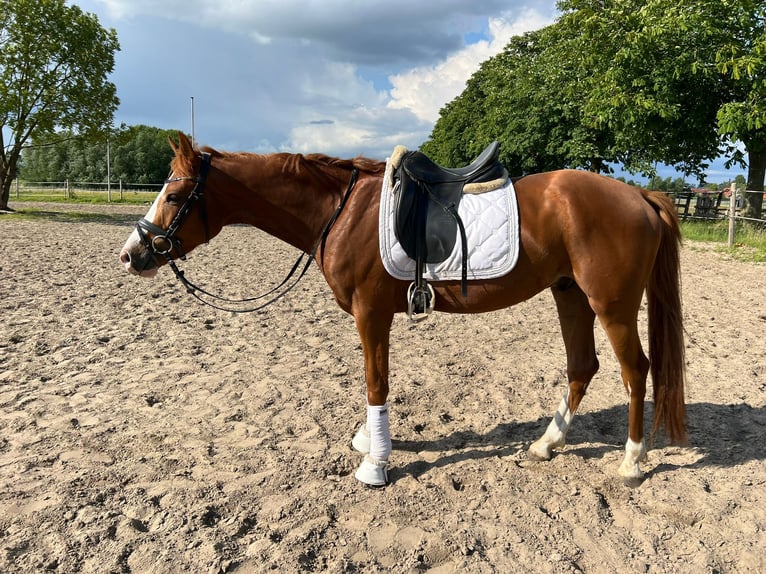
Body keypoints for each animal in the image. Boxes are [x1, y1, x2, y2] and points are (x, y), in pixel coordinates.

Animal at [121, 134, 688, 486]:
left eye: (173, 196)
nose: (131, 255)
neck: (340, 211)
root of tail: (640, 195)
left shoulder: (371, 313)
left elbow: (376, 382)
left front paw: (375, 463)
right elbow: (371, 380)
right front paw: (367, 443)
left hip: (611, 304)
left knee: (635, 370)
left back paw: (632, 462)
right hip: (569, 294)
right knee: (582, 367)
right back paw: (547, 443)